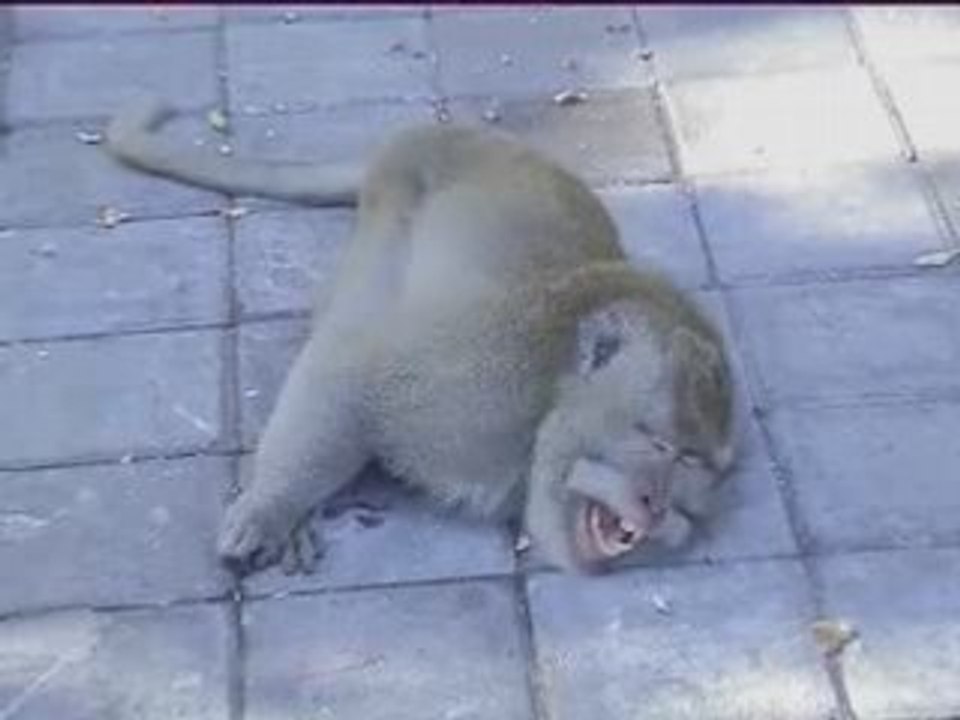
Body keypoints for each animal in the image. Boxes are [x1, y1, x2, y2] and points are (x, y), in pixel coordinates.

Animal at [104, 97, 736, 575]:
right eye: (654, 441)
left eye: (693, 462)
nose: (656, 504)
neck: (542, 408)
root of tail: (440, 133)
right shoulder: (479, 384)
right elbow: (349, 376)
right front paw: (272, 505)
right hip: (393, 198)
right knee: (359, 307)